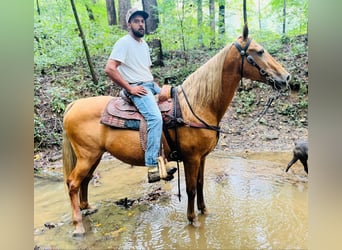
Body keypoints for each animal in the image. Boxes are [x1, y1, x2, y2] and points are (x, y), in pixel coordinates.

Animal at [62, 24, 290, 236]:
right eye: (259, 51)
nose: (286, 77)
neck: (198, 105)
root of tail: (73, 105)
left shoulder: (202, 157)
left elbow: (200, 184)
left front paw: (204, 211)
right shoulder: (191, 158)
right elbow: (191, 188)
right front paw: (192, 219)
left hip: (94, 155)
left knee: (85, 180)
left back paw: (87, 208)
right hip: (88, 155)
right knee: (73, 183)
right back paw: (78, 225)